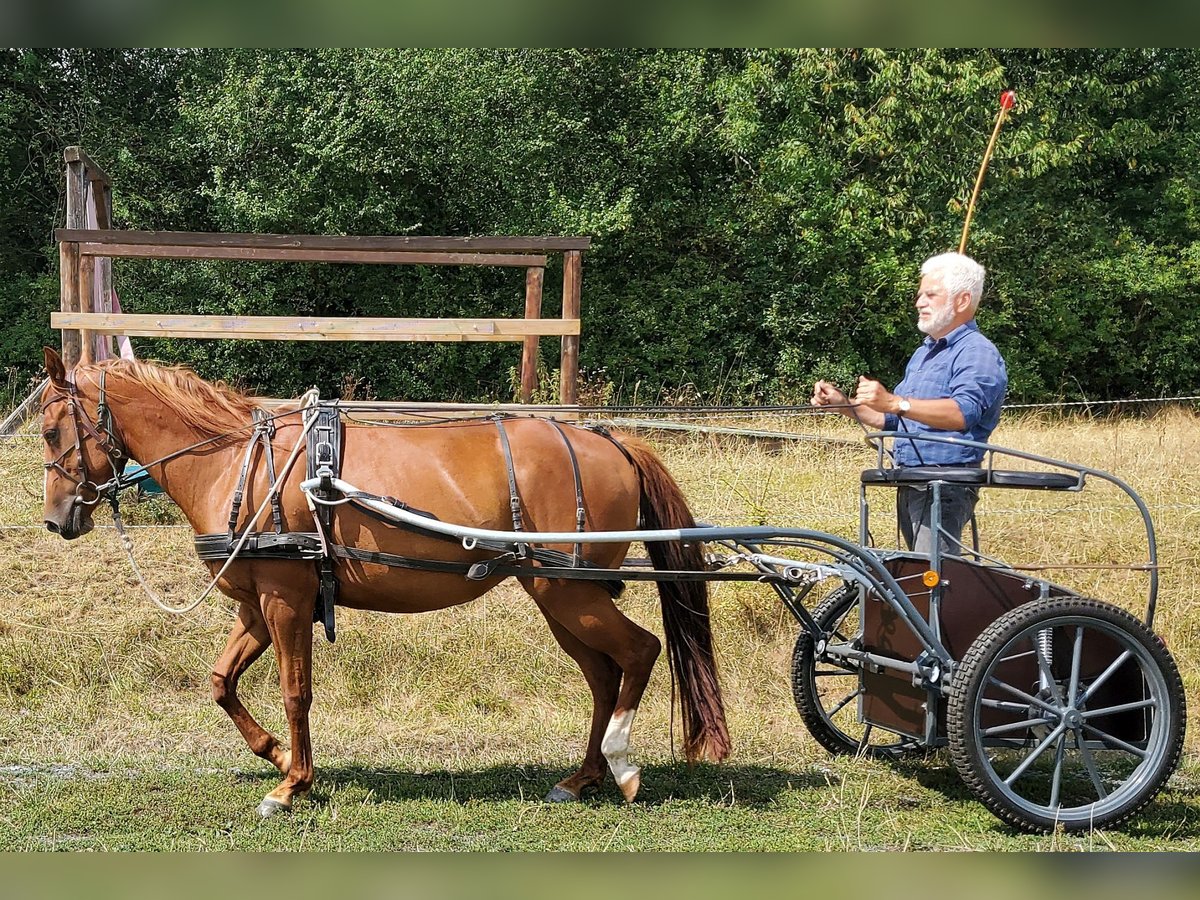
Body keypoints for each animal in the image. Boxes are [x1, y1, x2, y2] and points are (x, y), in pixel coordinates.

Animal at [39, 348, 729, 820]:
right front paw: (279, 756)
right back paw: (582, 776)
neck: (236, 463)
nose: (55, 519)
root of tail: (609, 439)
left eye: (50, 431)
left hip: (572, 592)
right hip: (557, 594)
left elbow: (295, 692)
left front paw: (292, 784)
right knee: (603, 675)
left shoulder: (286, 601)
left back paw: (621, 764)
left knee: (639, 652)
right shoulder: (259, 607)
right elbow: (220, 682)